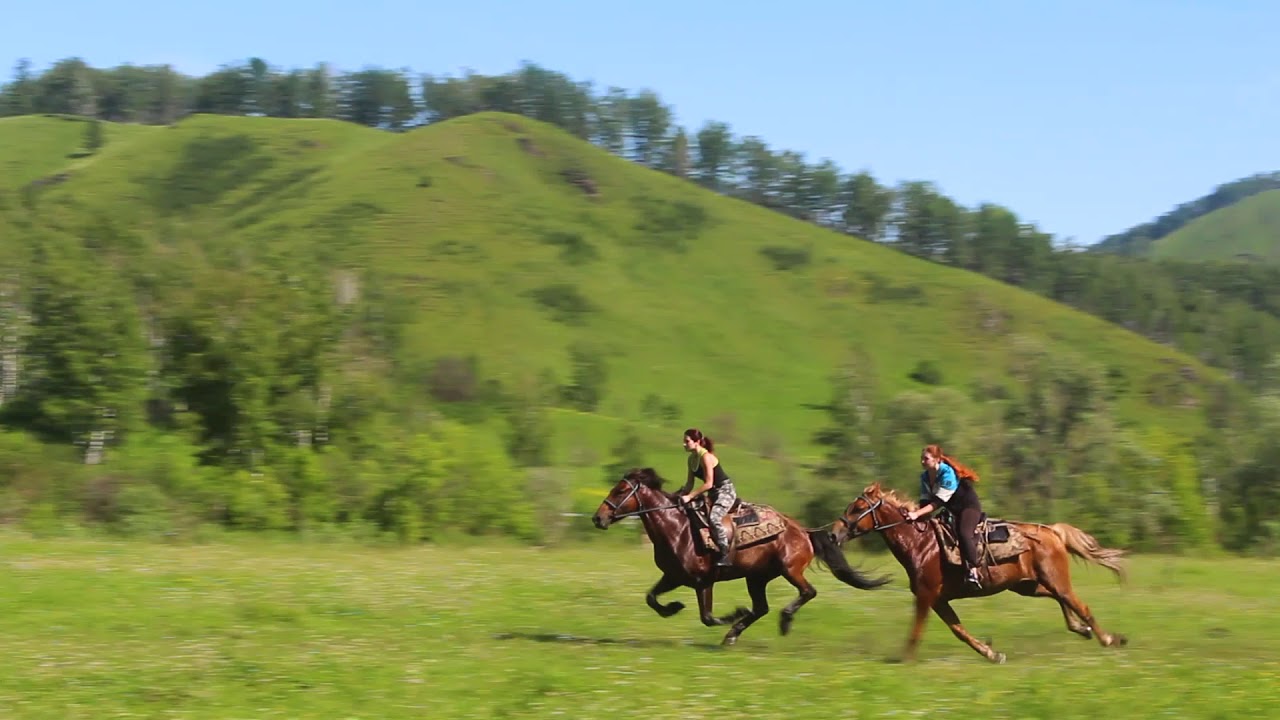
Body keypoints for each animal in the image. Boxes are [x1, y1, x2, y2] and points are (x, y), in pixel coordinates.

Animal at [591, 466, 885, 645]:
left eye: (620, 490)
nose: (598, 518)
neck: (677, 529)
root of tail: (803, 531)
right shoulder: (673, 576)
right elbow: (651, 598)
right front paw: (673, 607)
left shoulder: (703, 581)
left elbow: (708, 618)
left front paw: (733, 614)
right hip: (756, 578)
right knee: (761, 608)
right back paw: (733, 635)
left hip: (790, 569)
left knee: (807, 592)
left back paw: (783, 621)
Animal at [829, 481, 1121, 661]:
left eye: (857, 508)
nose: (833, 534)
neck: (920, 544)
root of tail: (1052, 532)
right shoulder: (938, 600)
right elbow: (959, 631)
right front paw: (993, 654)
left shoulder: (925, 596)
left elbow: (916, 631)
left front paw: (905, 661)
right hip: (1029, 585)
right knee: (1062, 601)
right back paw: (1083, 629)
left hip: (1054, 579)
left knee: (1079, 605)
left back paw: (1108, 639)